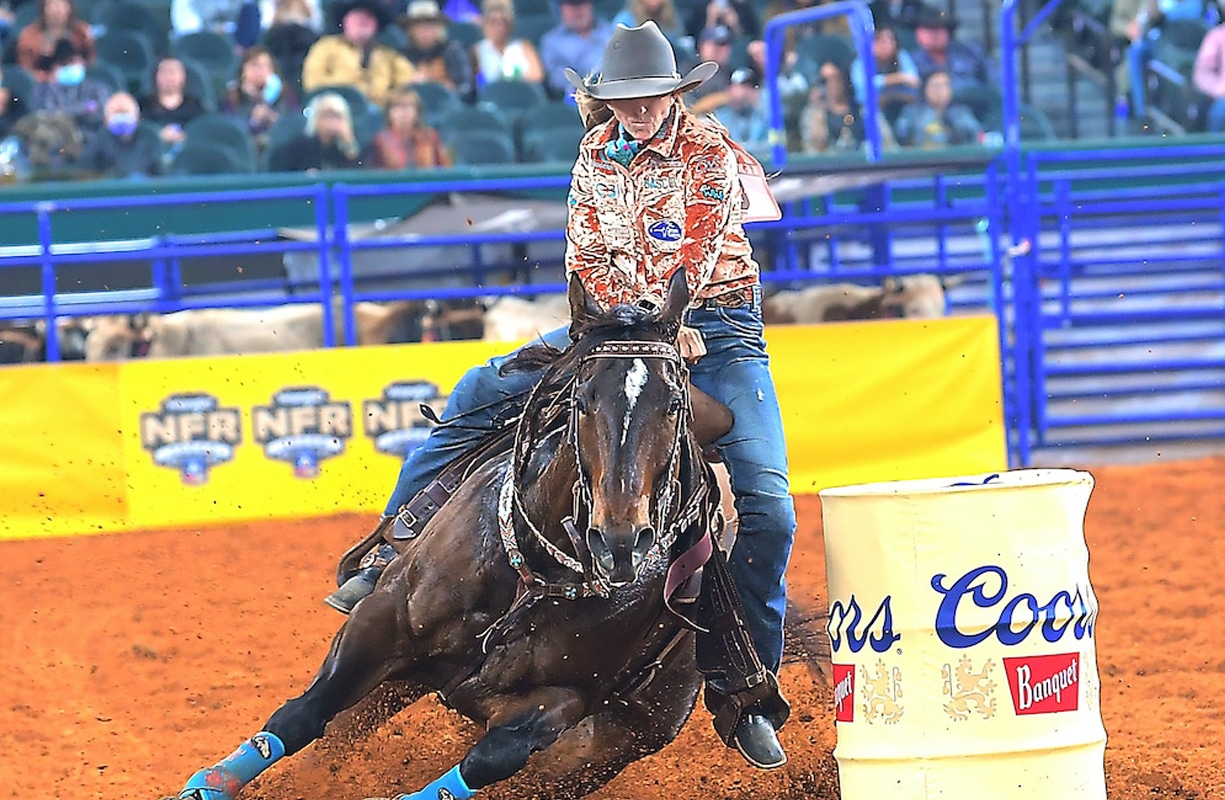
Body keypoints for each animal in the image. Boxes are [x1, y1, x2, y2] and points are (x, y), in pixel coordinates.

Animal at [171, 269, 725, 798]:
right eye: (583, 400)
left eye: (674, 405)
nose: (619, 538)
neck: (533, 571)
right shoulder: (383, 617)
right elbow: (303, 713)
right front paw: (205, 786)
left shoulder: (559, 704)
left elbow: (488, 759)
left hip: (609, 743)